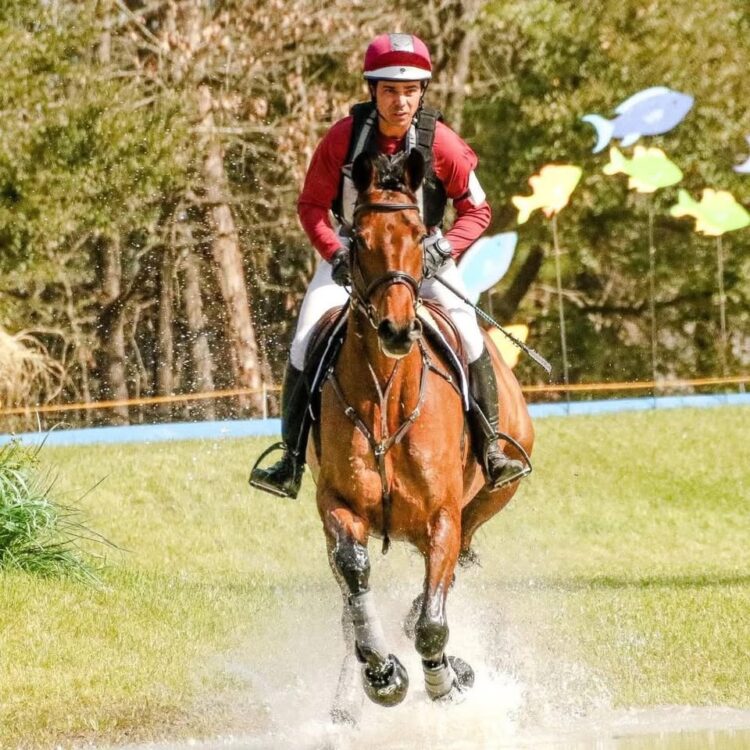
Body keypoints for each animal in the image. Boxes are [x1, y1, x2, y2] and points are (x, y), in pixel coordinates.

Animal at [306, 148, 536, 724]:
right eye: (359, 238)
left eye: (415, 234)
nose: (395, 330)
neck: (388, 396)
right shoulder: (338, 506)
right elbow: (355, 579)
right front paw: (383, 675)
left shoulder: (443, 517)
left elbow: (432, 620)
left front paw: (444, 682)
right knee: (351, 606)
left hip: (489, 499)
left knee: (445, 581)